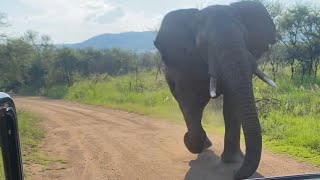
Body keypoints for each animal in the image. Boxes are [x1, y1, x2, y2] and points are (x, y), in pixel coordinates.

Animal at [154, 0, 276, 179]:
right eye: (204, 45)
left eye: (245, 37)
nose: (234, 173)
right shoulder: (186, 64)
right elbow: (189, 102)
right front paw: (190, 143)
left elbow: (232, 105)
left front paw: (232, 161)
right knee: (192, 107)